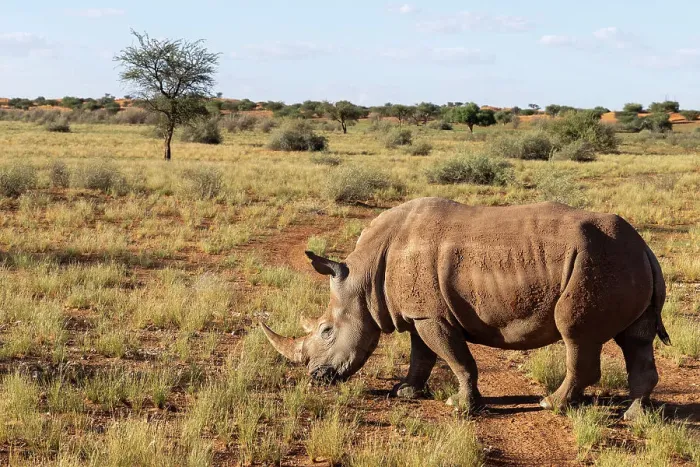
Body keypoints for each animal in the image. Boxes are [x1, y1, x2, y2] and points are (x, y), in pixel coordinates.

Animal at [261, 197, 670, 419]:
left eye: (326, 331)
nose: (316, 377)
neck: (364, 276)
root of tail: (644, 246)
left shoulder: (431, 315)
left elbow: (456, 358)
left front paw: (460, 406)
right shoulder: (420, 312)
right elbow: (422, 355)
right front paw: (405, 392)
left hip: (596, 262)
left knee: (577, 336)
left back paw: (550, 404)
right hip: (620, 258)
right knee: (636, 340)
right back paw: (634, 415)